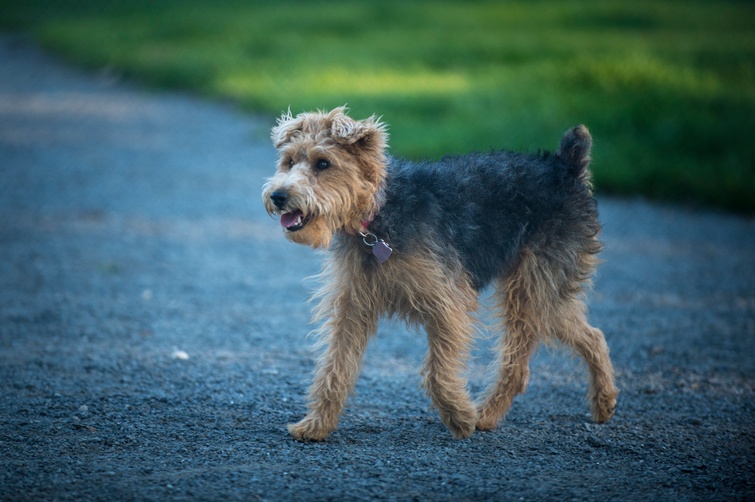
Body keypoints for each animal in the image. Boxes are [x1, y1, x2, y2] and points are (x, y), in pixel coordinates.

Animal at [262, 106, 616, 440]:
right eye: (288, 161)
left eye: (323, 163)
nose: (278, 196)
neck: (377, 215)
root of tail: (564, 167)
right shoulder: (352, 308)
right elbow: (334, 369)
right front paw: (316, 425)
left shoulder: (448, 303)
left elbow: (437, 373)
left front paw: (460, 416)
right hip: (544, 295)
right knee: (592, 336)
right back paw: (603, 403)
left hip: (532, 291)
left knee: (520, 363)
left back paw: (486, 415)